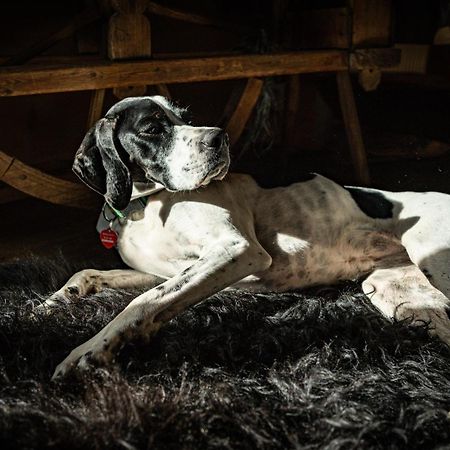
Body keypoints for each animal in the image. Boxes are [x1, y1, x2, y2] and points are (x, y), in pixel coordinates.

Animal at [44, 96, 450, 380]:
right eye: (152, 129)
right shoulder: (163, 271)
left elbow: (143, 302)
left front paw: (90, 350)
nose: (219, 137)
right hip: (398, 294)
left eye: (185, 117)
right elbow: (93, 274)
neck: (143, 206)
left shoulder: (237, 250)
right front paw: (53, 303)